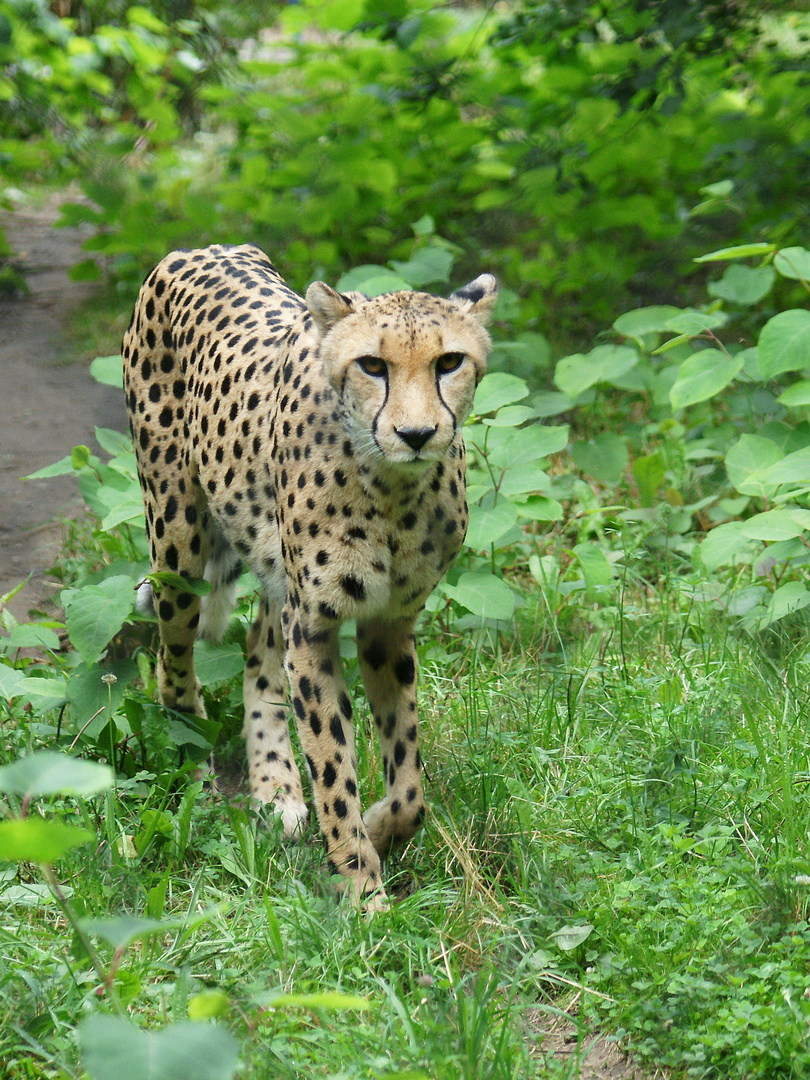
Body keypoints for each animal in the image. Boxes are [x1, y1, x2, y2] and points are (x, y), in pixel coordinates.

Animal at [123, 245, 498, 902]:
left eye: (449, 361)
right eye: (372, 365)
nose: (417, 434)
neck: (392, 492)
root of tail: (200, 249)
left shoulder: (388, 625)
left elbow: (409, 784)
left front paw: (380, 830)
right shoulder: (317, 629)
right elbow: (333, 768)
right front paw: (364, 895)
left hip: (273, 570)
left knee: (257, 649)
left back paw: (276, 790)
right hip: (177, 547)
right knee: (174, 663)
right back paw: (195, 768)